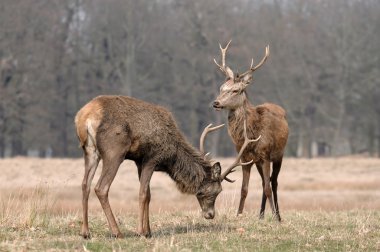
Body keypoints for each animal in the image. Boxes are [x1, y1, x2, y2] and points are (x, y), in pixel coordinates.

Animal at [74, 94, 256, 238]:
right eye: (212, 191)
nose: (210, 215)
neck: (171, 157)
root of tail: (85, 117)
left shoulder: (139, 161)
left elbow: (148, 194)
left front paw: (149, 231)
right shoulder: (151, 158)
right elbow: (142, 194)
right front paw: (141, 231)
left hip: (89, 151)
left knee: (85, 185)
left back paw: (85, 232)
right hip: (115, 151)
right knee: (101, 187)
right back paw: (117, 232)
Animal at [212, 40, 290, 220]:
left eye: (235, 90)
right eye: (221, 88)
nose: (216, 103)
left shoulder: (266, 155)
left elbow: (268, 187)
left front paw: (275, 218)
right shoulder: (245, 158)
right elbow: (244, 189)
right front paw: (238, 214)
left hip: (279, 155)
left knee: (273, 182)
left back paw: (278, 215)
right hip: (258, 162)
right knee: (263, 182)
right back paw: (260, 215)